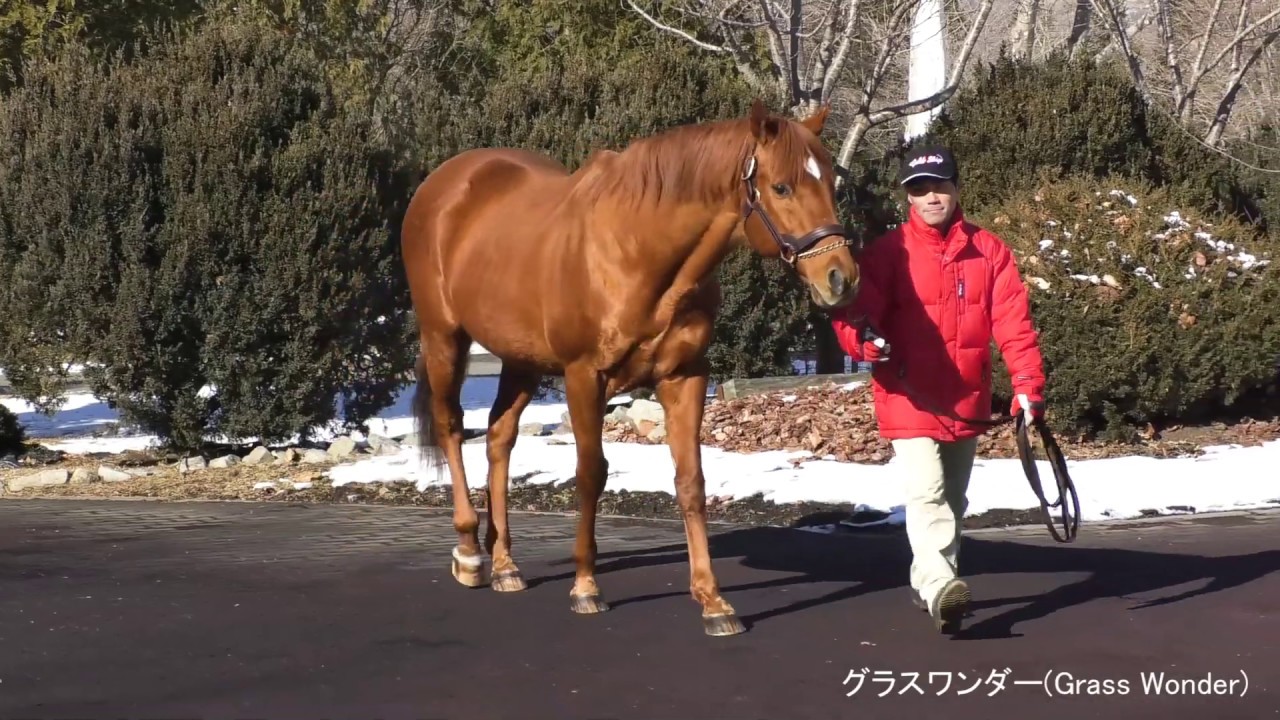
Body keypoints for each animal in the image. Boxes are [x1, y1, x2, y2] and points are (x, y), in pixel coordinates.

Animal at [399, 99, 860, 632]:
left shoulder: (684, 377)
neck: (638, 252)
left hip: (520, 359)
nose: (840, 278)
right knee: (452, 428)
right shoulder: (584, 377)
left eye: (830, 184)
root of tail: (446, 183)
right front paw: (585, 587)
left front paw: (712, 600)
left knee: (499, 437)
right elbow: (590, 474)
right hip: (444, 338)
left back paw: (505, 564)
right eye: (782, 186)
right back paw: (471, 553)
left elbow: (690, 480)